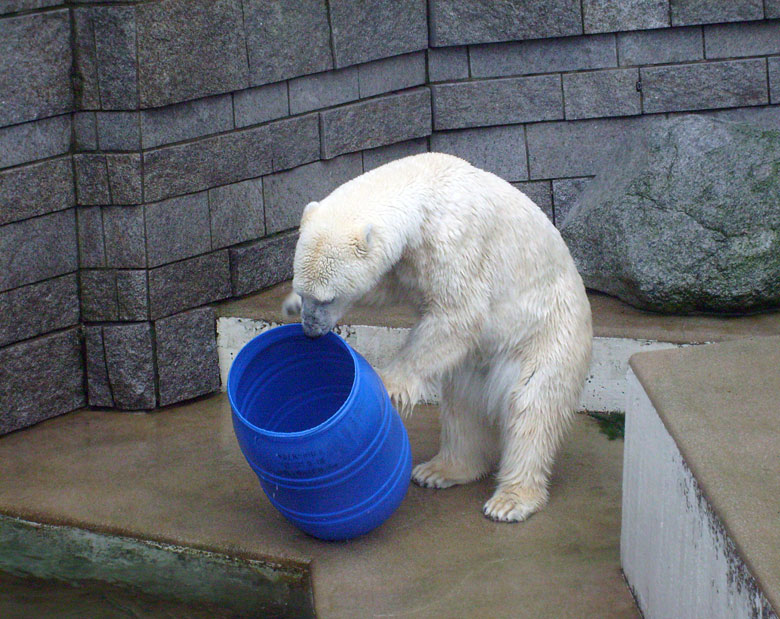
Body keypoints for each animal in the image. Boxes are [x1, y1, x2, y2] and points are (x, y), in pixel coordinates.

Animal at [284, 155, 596, 524]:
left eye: (328, 297)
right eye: (305, 292)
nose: (310, 330)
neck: (423, 186)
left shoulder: (456, 242)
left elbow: (459, 313)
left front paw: (387, 384)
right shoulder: (409, 258)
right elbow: (386, 286)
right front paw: (289, 304)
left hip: (548, 337)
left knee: (533, 408)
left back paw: (511, 500)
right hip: (475, 367)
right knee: (462, 407)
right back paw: (441, 470)